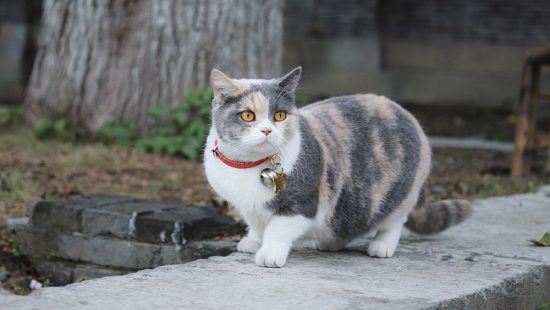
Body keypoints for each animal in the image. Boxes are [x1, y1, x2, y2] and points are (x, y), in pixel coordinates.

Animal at [205, 66, 472, 268]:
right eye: (248, 116)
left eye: (280, 115)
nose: (267, 130)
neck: (248, 165)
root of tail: (409, 116)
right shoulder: (247, 206)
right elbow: (256, 224)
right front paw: (252, 241)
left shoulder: (302, 203)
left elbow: (277, 229)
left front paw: (269, 253)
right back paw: (331, 242)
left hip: (398, 193)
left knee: (395, 219)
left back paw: (381, 245)